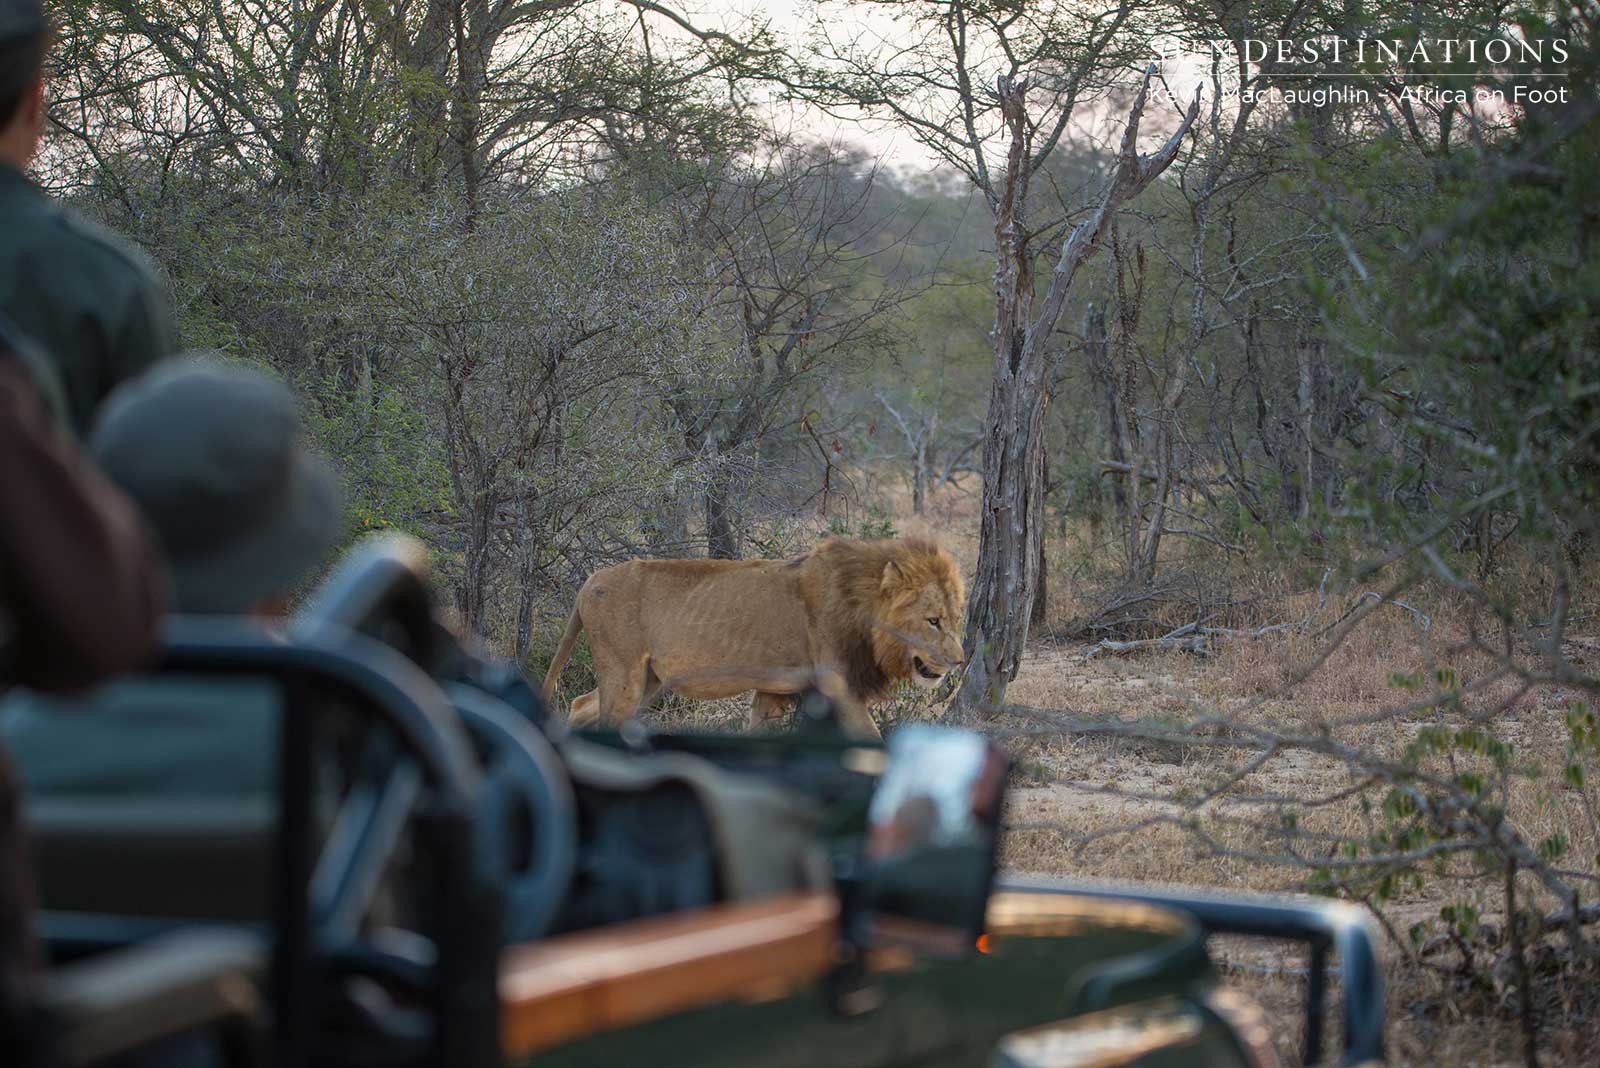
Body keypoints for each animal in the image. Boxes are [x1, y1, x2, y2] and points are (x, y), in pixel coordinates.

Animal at [541, 537, 966, 738]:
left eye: (955, 619)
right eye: (933, 621)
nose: (960, 661)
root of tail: (589, 581)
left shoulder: (774, 690)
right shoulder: (839, 685)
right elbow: (872, 737)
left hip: (649, 680)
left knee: (581, 704)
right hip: (625, 673)